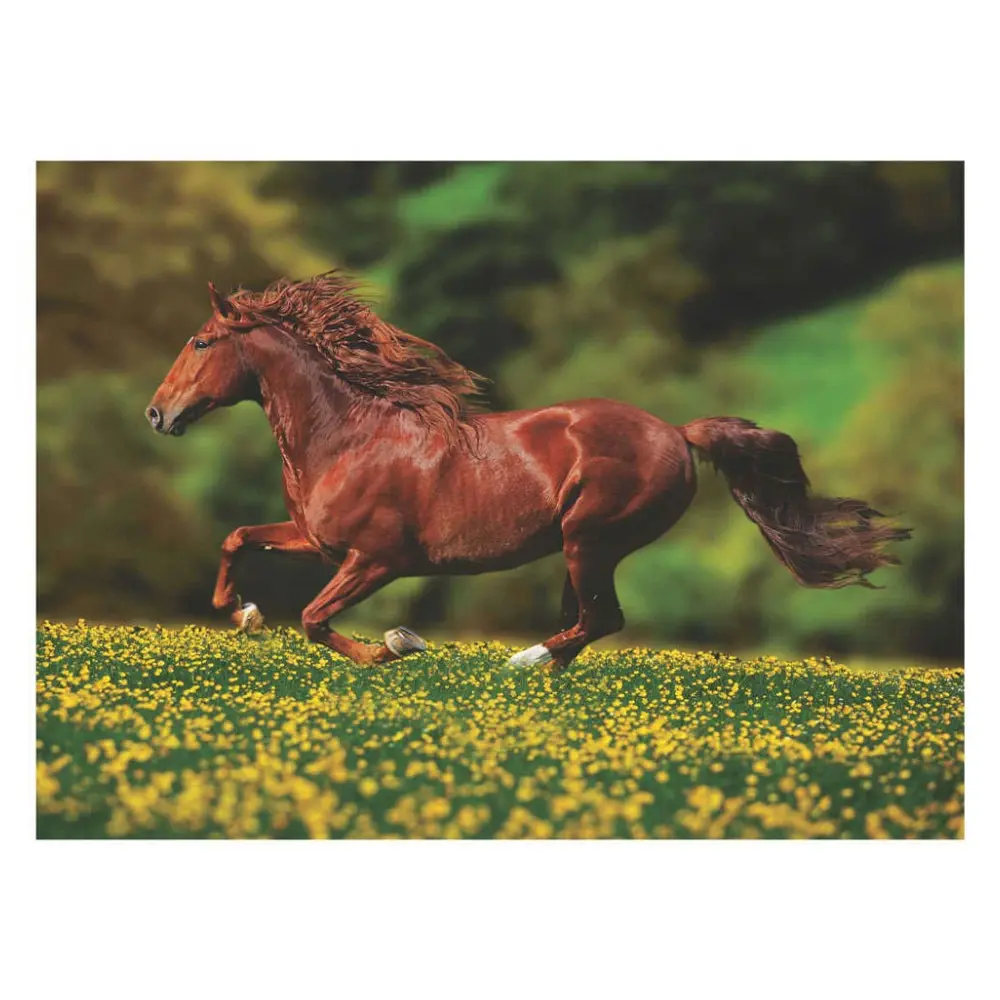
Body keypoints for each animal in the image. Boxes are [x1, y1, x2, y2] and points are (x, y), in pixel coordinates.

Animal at [146, 272, 910, 670]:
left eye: (201, 341)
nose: (157, 414)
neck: (348, 436)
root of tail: (676, 431)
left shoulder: (378, 559)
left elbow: (312, 617)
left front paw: (393, 647)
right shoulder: (319, 540)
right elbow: (239, 538)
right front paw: (241, 611)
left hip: (590, 539)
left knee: (602, 618)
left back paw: (523, 663)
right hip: (586, 549)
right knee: (589, 620)